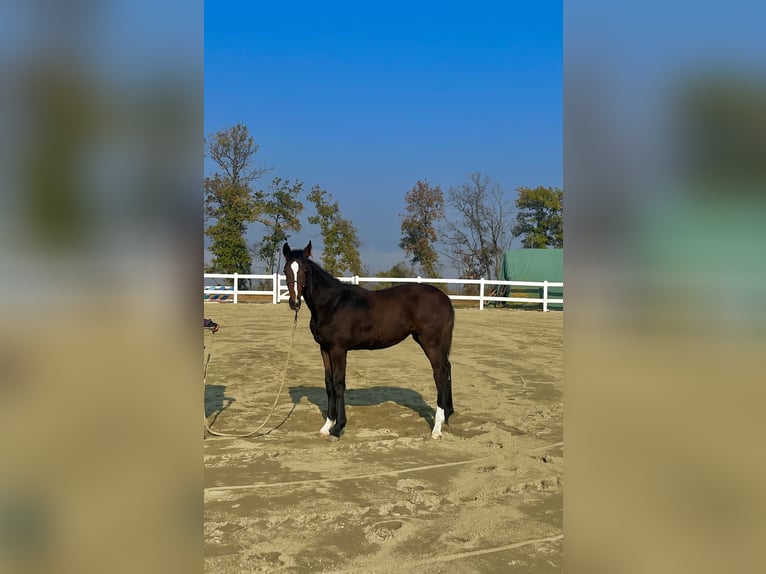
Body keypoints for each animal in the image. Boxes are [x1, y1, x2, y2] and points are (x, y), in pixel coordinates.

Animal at [282, 241, 455, 442]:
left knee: (440, 375)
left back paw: (436, 429)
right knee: (447, 369)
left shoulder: (338, 349)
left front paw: (338, 428)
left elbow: (338, 384)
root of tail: (444, 298)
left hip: (431, 344)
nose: (294, 303)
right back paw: (447, 415)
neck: (332, 304)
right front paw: (327, 426)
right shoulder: (324, 348)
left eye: (305, 270)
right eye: (286, 270)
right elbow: (329, 384)